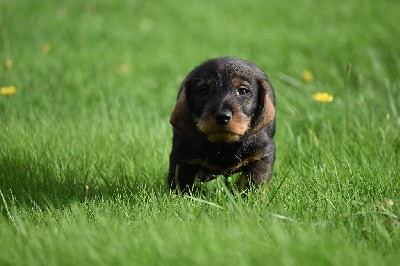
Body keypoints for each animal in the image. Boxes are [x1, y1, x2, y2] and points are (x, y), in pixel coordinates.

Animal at [168, 57, 276, 192]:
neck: (223, 144)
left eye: (243, 91)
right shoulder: (181, 155)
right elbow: (180, 183)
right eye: (204, 91)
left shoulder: (262, 154)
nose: (222, 116)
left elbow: (254, 180)